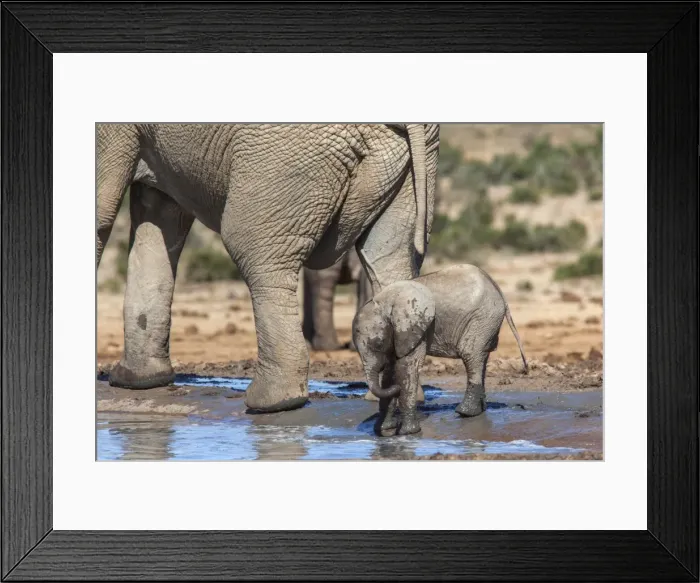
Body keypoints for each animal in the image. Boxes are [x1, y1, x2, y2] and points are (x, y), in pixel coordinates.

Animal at [97, 123, 440, 412]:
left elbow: (104, 210)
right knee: (387, 259)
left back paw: (271, 402)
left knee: (254, 251)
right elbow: (159, 216)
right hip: (408, 163)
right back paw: (398, 394)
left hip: (286, 157)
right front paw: (137, 380)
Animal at [352, 279, 436, 436]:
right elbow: (389, 372)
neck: (385, 303)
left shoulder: (414, 329)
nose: (396, 388)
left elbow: (406, 367)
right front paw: (385, 429)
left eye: (378, 344)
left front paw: (407, 432)